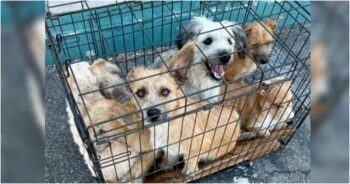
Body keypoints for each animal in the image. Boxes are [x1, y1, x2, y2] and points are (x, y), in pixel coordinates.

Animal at [128, 41, 241, 175]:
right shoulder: (170, 150)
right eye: (140, 93)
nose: (153, 113)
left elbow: (190, 163)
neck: (168, 124)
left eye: (165, 92)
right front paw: (165, 166)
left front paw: (189, 171)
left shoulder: (195, 147)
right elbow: (169, 159)